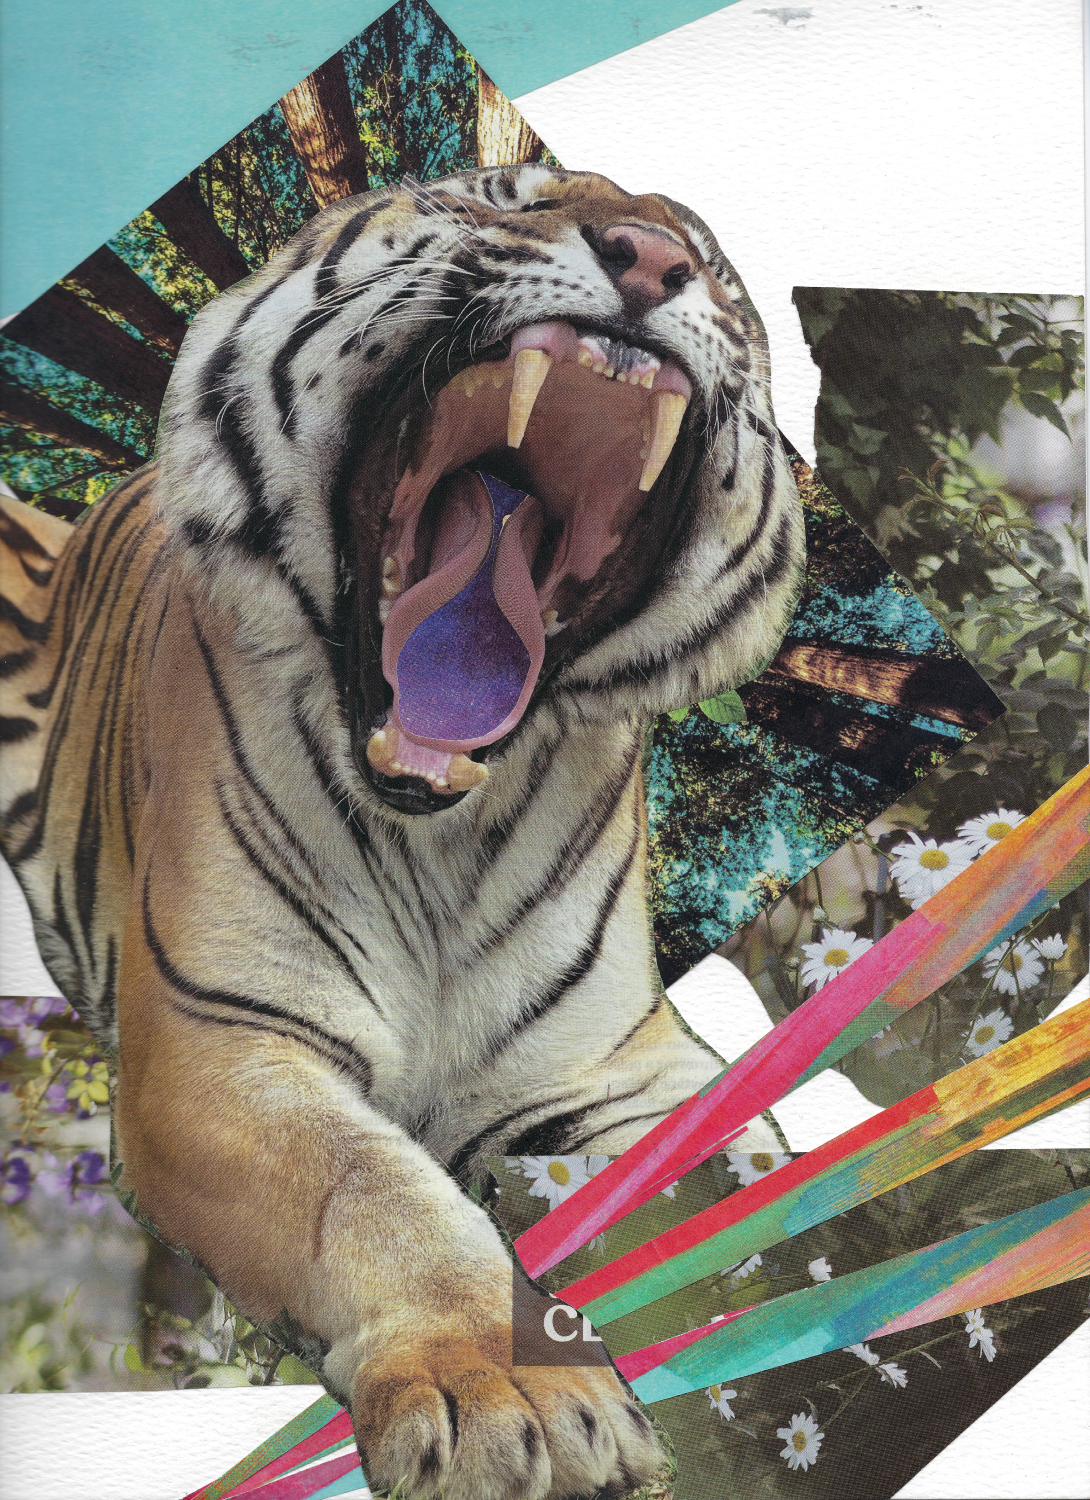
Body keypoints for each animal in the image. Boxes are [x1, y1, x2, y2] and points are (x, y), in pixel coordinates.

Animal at [0, 165, 804, 1499]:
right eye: (503, 195)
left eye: (722, 272)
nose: (648, 258)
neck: (438, 834)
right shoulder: (227, 1042)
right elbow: (376, 1196)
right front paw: (515, 1396)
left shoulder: (617, 1067)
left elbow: (742, 1169)